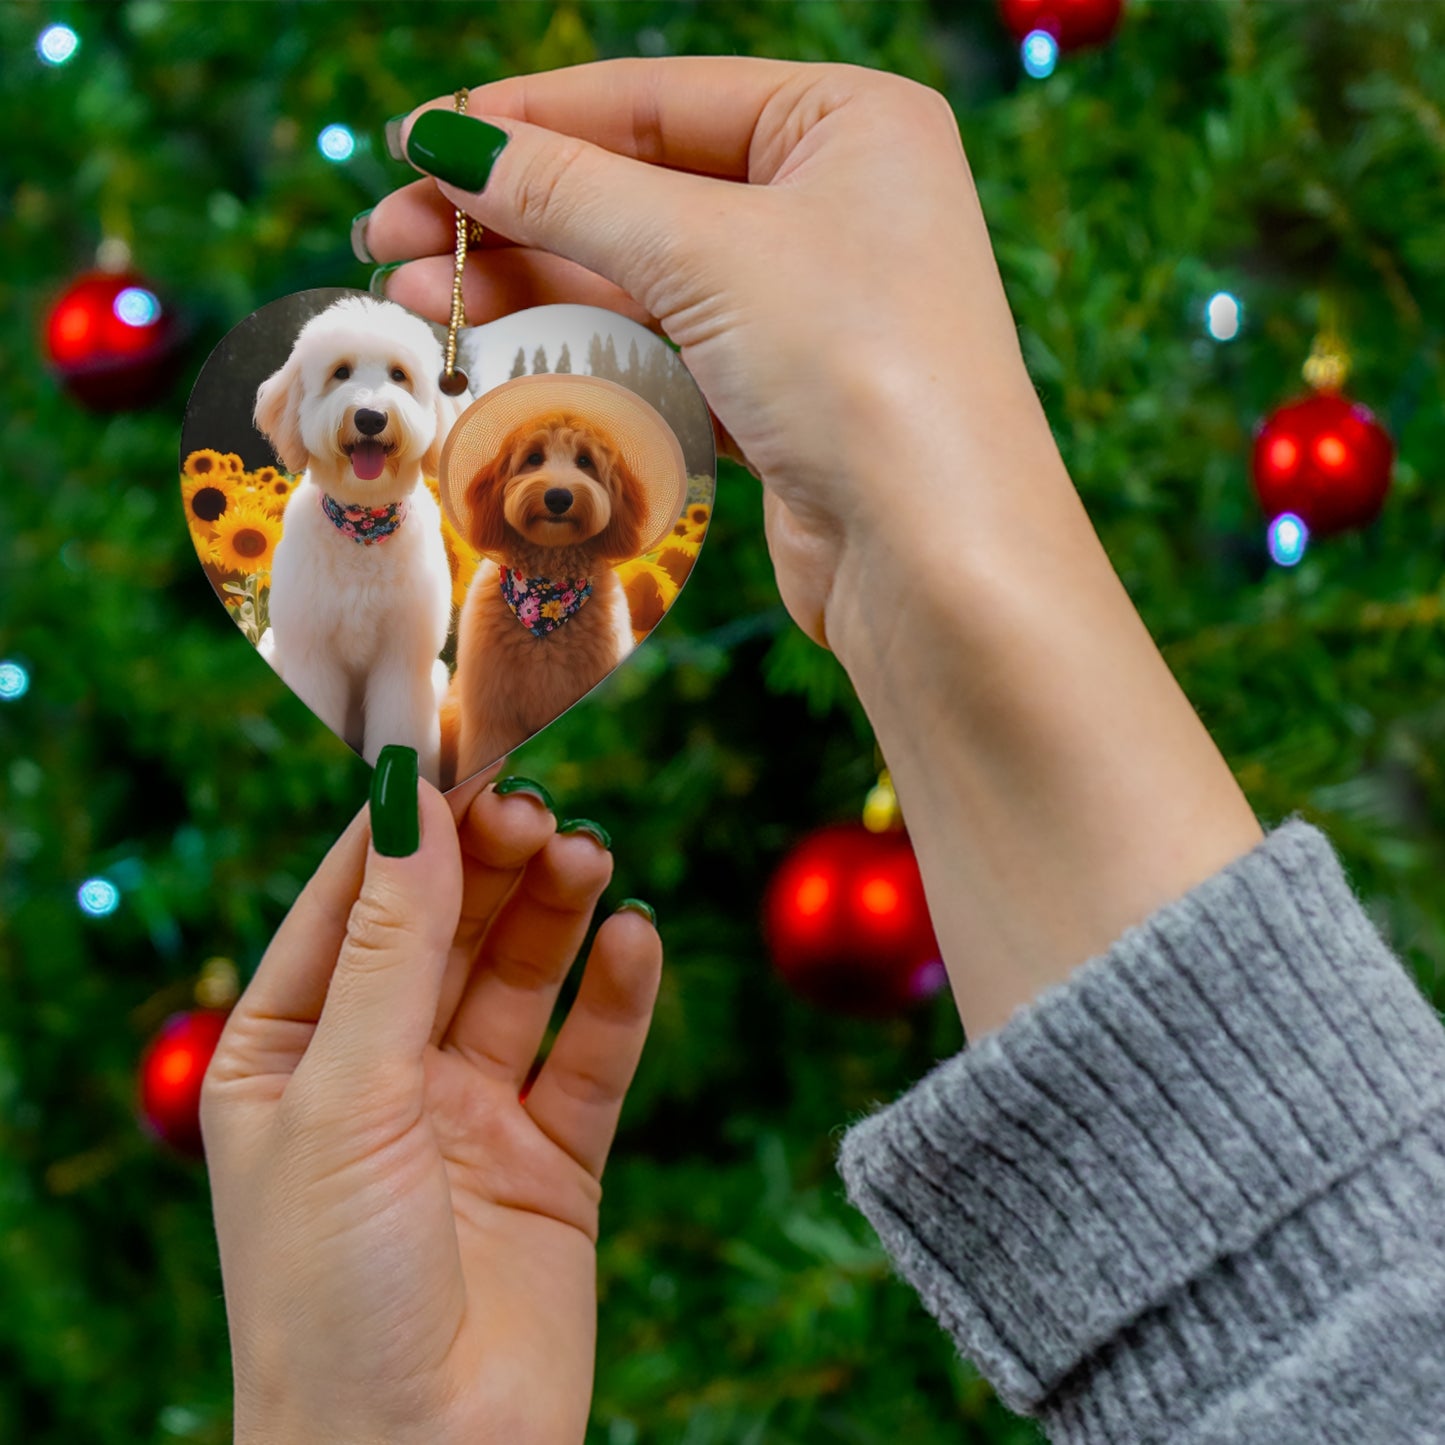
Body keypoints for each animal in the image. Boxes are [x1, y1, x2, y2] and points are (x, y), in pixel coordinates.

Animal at [251, 294, 459, 786]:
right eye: (340, 372)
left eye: (399, 375)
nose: (369, 417)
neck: (363, 529)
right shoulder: (312, 655)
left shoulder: (404, 662)